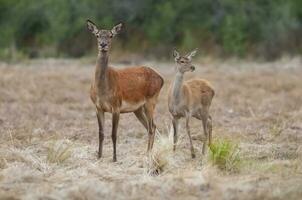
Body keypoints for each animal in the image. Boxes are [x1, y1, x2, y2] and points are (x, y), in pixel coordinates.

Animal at [86, 19, 164, 161]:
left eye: (111, 35)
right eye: (97, 35)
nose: (103, 44)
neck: (102, 91)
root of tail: (161, 78)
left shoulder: (116, 106)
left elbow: (113, 134)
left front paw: (114, 158)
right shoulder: (98, 107)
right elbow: (101, 133)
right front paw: (99, 156)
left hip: (151, 101)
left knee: (152, 126)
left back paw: (148, 154)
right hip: (138, 109)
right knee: (149, 127)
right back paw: (148, 153)